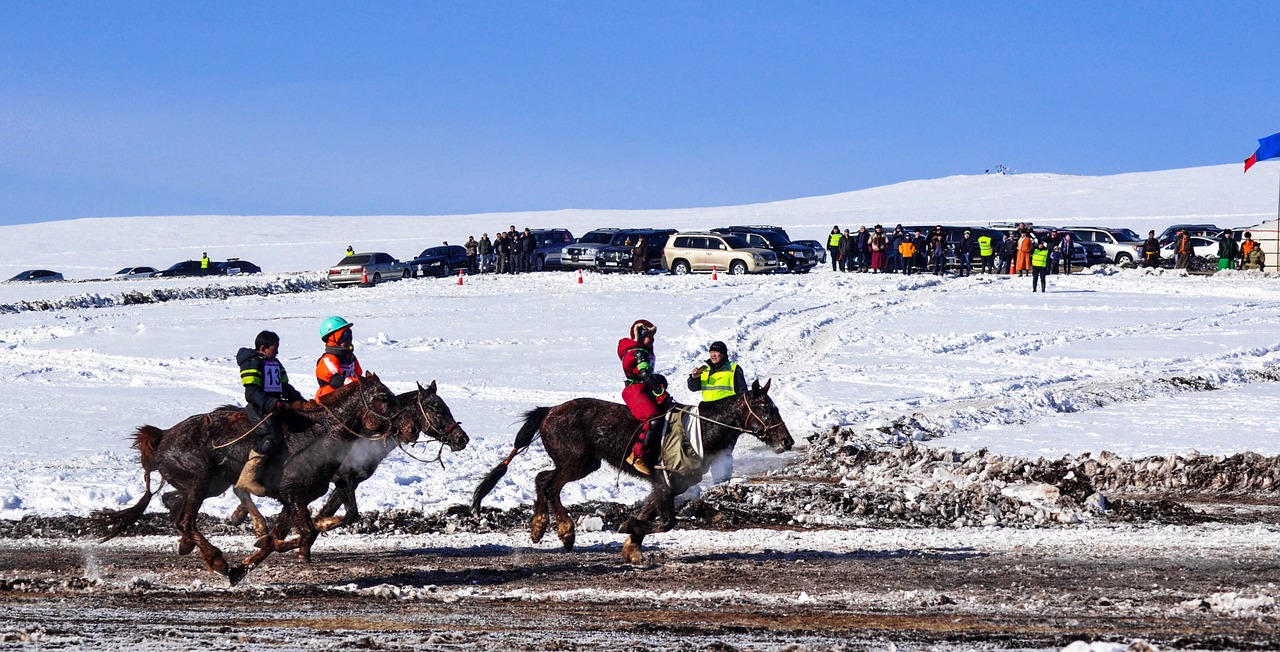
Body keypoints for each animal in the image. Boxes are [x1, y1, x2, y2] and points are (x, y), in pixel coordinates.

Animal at [93, 374, 407, 581]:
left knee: (173, 502)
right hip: (199, 481)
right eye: (383, 396)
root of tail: (161, 437)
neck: (319, 432)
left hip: (210, 484)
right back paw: (216, 559)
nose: (406, 427)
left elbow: (300, 529)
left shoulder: (300, 496)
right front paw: (263, 545)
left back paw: (192, 546)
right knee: (186, 520)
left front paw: (249, 560)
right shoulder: (293, 492)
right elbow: (303, 533)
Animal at [471, 379, 788, 561]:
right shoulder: (664, 480)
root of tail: (549, 412)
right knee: (551, 486)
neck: (701, 430)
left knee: (542, 479)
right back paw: (566, 532)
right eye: (766, 407)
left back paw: (538, 527)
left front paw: (632, 547)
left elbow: (649, 512)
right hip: (576, 462)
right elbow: (666, 521)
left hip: (582, 463)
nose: (786, 440)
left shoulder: (670, 485)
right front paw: (628, 529)